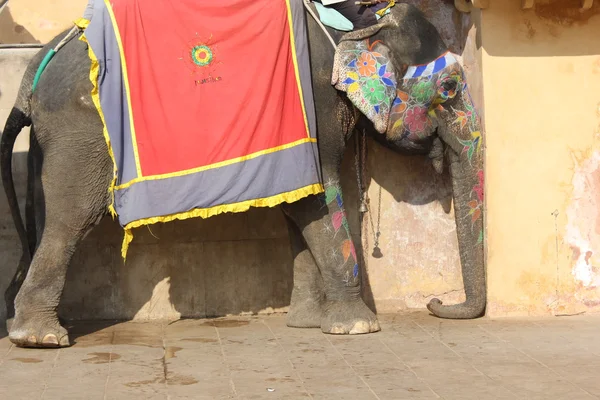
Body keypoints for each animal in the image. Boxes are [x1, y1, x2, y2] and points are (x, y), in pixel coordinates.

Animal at [0, 2, 486, 346]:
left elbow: (299, 205)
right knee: (73, 218)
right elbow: (319, 197)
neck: (357, 22)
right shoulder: (315, 106)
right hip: (82, 129)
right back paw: (41, 338)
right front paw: (357, 328)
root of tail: (35, 68)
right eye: (448, 89)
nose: (437, 300)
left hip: (54, 138)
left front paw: (307, 323)